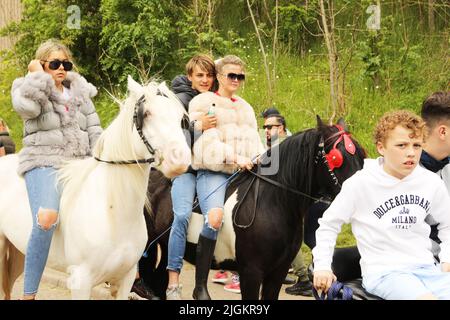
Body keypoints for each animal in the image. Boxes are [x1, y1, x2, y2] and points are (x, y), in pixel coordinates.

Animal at [0, 76, 192, 298]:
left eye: (179, 117)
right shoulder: (80, 281)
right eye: (147, 113)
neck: (112, 212)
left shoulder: (126, 279)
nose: (179, 159)